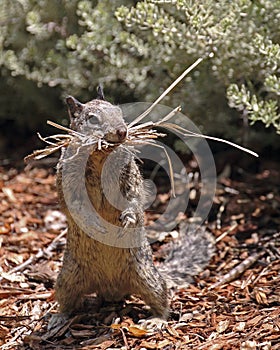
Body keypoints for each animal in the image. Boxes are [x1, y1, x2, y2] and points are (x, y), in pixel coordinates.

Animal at [55, 90, 215, 322]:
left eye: (119, 112)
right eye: (92, 119)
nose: (122, 131)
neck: (100, 156)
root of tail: (111, 289)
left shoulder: (129, 175)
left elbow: (133, 197)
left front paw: (128, 220)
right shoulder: (68, 179)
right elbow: (75, 205)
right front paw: (94, 224)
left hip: (147, 277)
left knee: (162, 299)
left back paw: (156, 320)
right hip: (67, 278)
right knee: (66, 301)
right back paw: (59, 318)